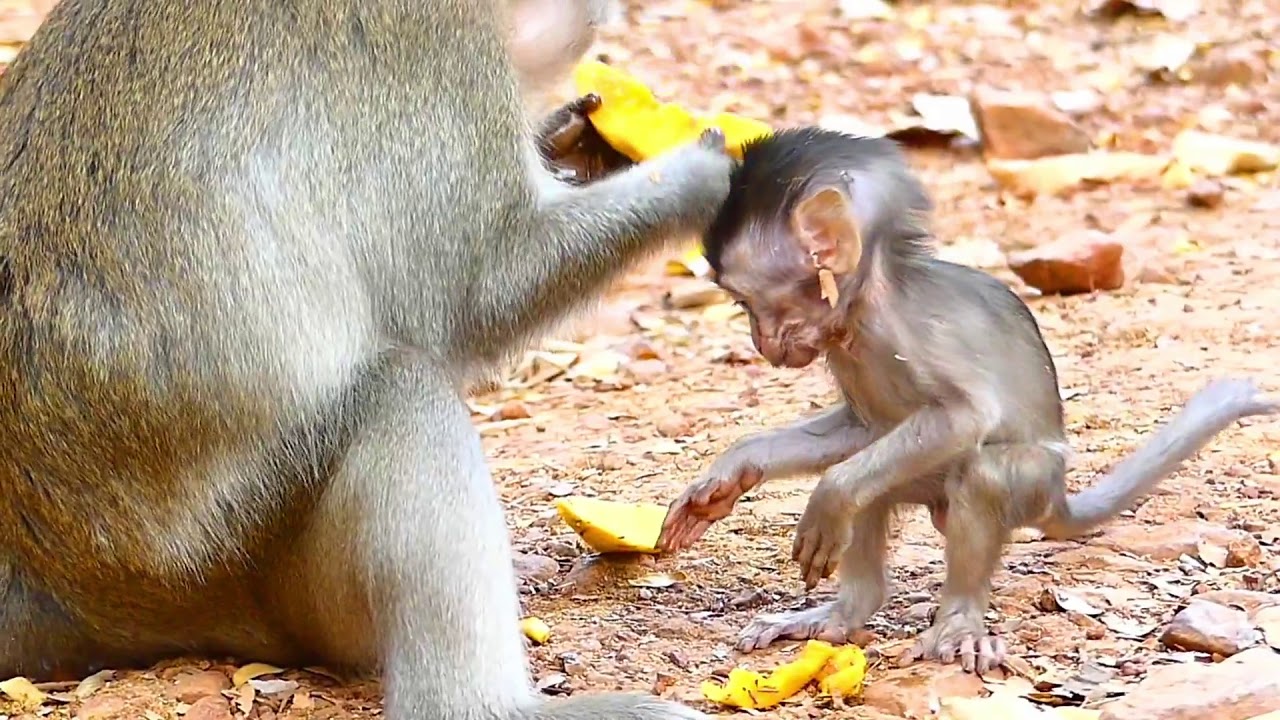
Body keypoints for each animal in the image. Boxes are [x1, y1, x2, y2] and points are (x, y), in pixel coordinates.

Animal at [0, 0, 731, 718]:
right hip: (239, 563)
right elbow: (482, 290)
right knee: (403, 392)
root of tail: (58, 588)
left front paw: (569, 140)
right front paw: (716, 173)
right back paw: (482, 706)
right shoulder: (438, 54)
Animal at [656, 127, 1278, 674]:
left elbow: (963, 418)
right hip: (918, 483)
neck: (866, 306)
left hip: (1030, 485)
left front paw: (826, 500)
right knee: (874, 484)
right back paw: (843, 613)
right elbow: (859, 431)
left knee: (982, 473)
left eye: (745, 303)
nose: (758, 342)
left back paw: (957, 620)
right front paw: (733, 472)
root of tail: (1057, 497)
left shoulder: (905, 334)